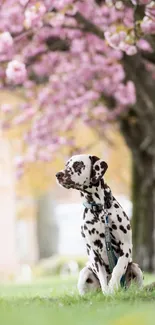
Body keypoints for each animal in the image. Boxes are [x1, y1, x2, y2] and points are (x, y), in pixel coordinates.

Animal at [55, 154, 143, 294]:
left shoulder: (126, 246)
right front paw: (108, 292)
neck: (99, 210)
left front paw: (113, 286)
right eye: (66, 165)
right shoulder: (93, 253)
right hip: (84, 272)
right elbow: (102, 277)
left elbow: (118, 269)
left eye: (78, 165)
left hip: (136, 268)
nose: (58, 174)